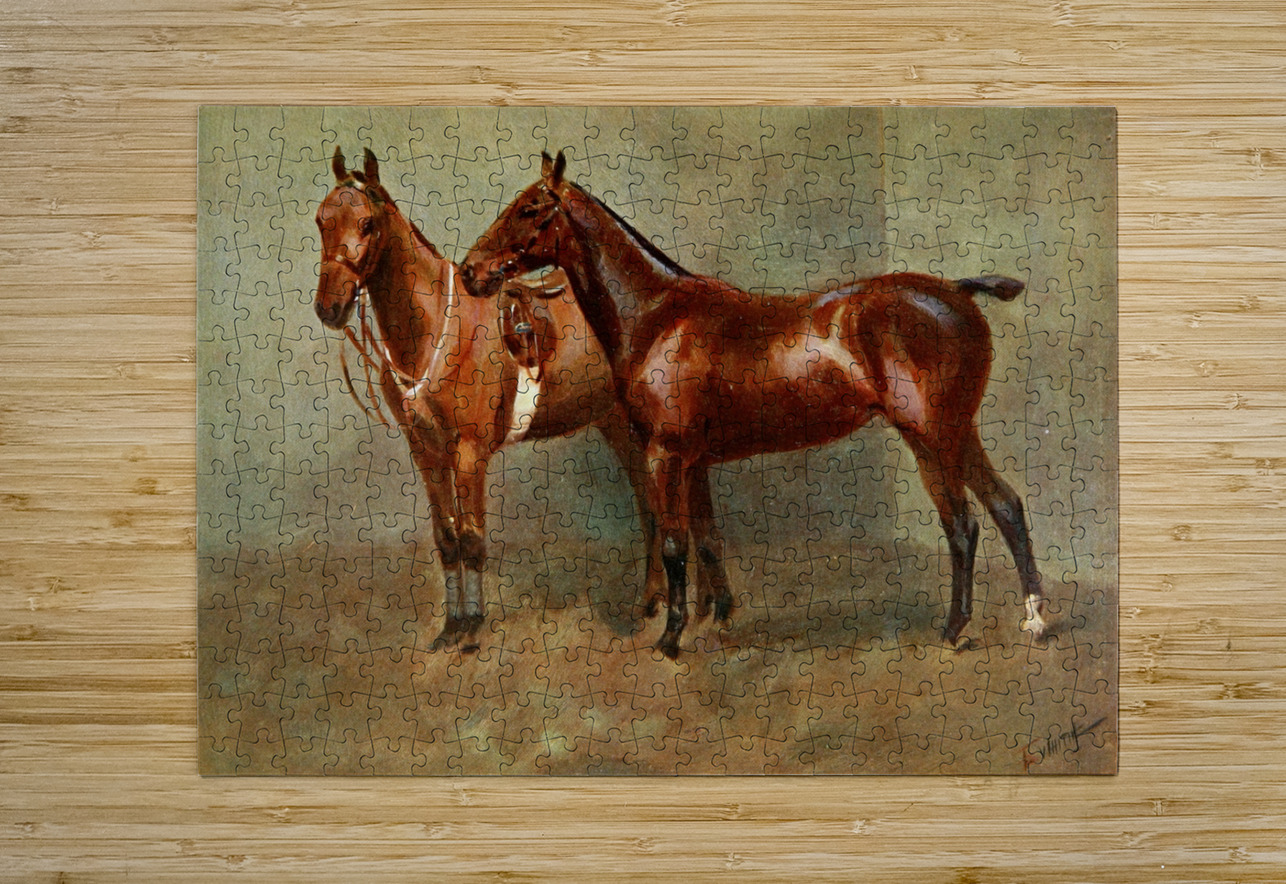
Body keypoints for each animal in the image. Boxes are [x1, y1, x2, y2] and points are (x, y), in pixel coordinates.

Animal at [313, 147, 729, 647]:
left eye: (367, 224)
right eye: (321, 220)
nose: (329, 307)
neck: (434, 329)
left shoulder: (469, 454)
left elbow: (472, 540)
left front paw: (472, 627)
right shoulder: (426, 453)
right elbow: (447, 540)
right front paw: (450, 628)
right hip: (620, 428)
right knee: (654, 512)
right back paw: (661, 604)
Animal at [462, 151, 1048, 659]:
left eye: (530, 209)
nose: (471, 271)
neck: (656, 316)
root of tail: (958, 291)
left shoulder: (663, 456)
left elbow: (674, 545)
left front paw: (671, 637)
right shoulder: (692, 461)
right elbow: (707, 540)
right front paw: (715, 617)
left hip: (934, 437)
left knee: (965, 526)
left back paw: (957, 629)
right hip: (950, 436)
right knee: (1004, 507)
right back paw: (1034, 619)